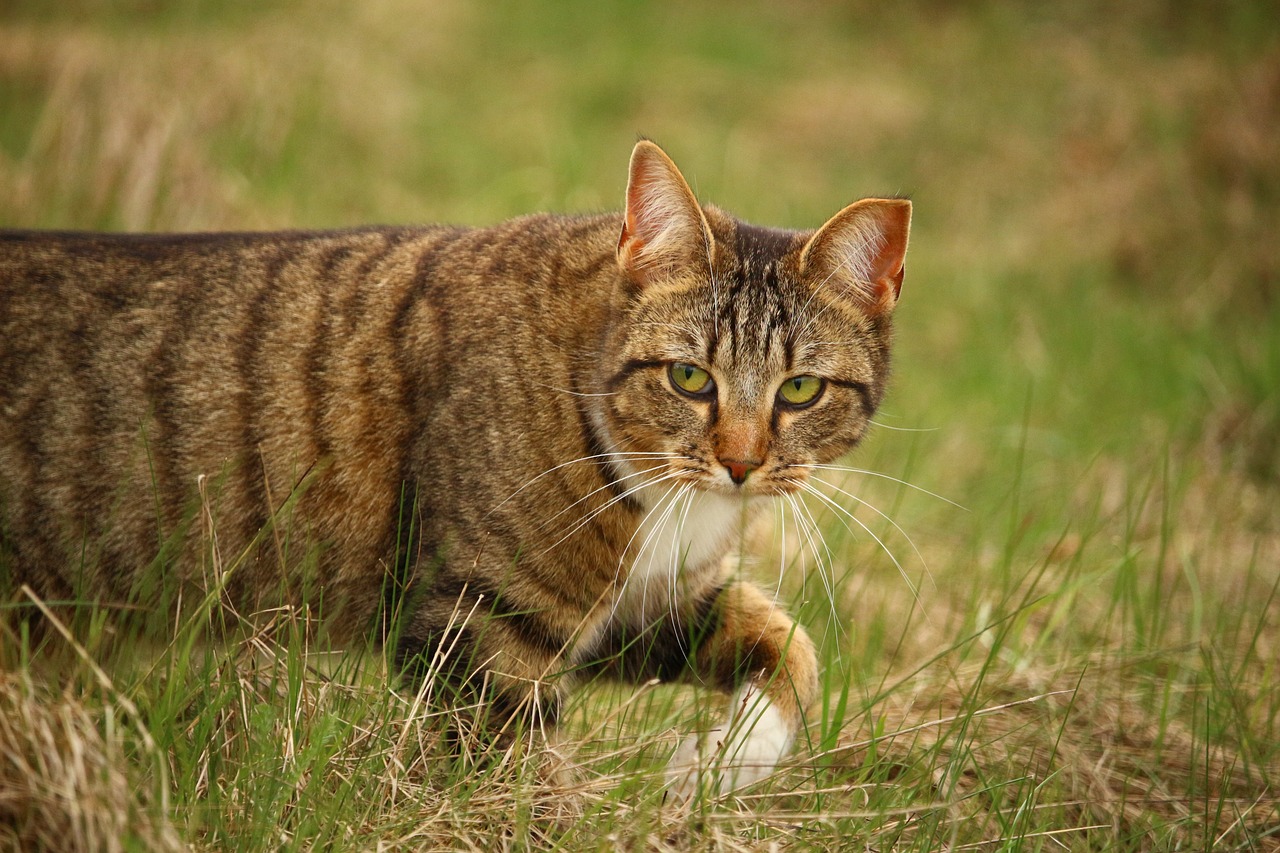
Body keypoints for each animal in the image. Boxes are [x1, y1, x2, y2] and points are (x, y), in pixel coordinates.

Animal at [5, 142, 916, 794]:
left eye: (799, 390)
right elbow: (518, 784)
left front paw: (719, 766)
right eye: (691, 377)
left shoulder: (640, 609)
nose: (740, 462)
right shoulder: (488, 625)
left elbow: (791, 648)